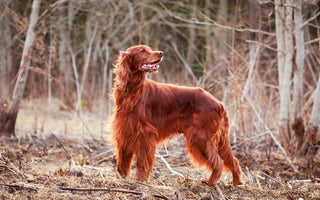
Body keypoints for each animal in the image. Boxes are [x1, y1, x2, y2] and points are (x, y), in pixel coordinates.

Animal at [111, 44, 241, 185]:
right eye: (142, 51)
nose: (161, 53)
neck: (133, 91)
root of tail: (219, 103)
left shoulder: (144, 134)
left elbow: (141, 161)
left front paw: (139, 179)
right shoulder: (124, 131)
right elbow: (122, 162)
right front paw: (121, 178)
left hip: (201, 138)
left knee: (219, 162)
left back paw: (210, 182)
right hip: (216, 140)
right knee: (233, 161)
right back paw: (236, 182)